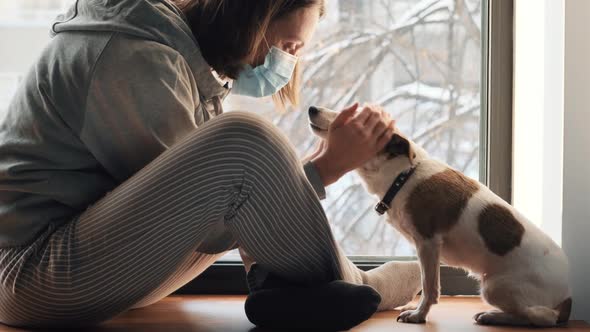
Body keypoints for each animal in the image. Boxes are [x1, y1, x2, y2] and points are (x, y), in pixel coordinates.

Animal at [310, 105, 572, 326]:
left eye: (353, 117)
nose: (312, 108)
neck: (403, 175)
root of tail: (568, 295)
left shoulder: (428, 243)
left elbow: (429, 288)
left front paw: (418, 315)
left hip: (493, 286)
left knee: (543, 317)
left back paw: (494, 316)